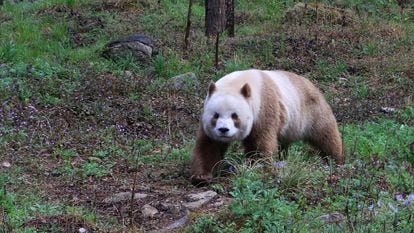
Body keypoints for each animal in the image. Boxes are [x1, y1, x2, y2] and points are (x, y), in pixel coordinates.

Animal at [191, 69, 342, 186]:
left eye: (235, 116)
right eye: (215, 115)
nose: (223, 130)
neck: (238, 83)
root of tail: (311, 83)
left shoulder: (264, 108)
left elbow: (260, 143)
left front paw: (256, 168)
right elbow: (209, 146)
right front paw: (201, 177)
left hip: (310, 111)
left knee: (325, 135)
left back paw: (336, 161)